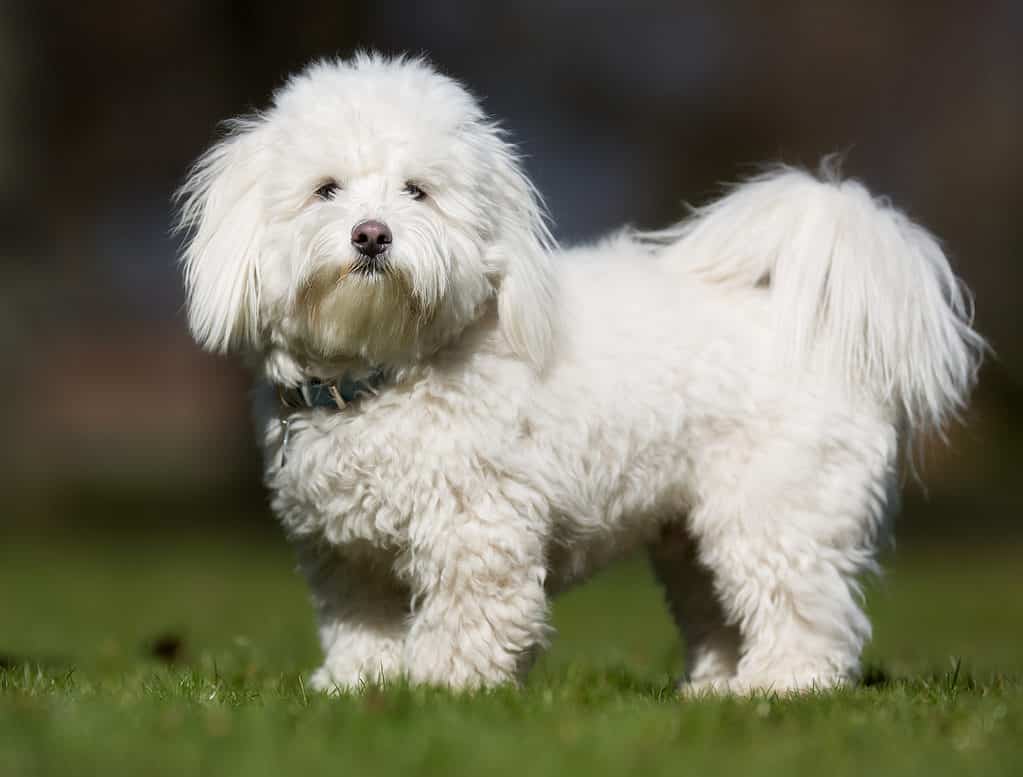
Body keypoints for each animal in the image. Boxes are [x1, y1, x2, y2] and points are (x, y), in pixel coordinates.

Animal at [175, 56, 982, 699]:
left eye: (417, 192)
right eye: (326, 189)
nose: (371, 235)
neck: (385, 371)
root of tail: (817, 327)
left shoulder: (477, 530)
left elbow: (470, 616)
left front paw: (441, 688)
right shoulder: (347, 554)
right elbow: (362, 626)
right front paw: (357, 687)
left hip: (775, 509)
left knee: (806, 609)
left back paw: (782, 687)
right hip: (690, 535)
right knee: (719, 610)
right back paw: (714, 693)